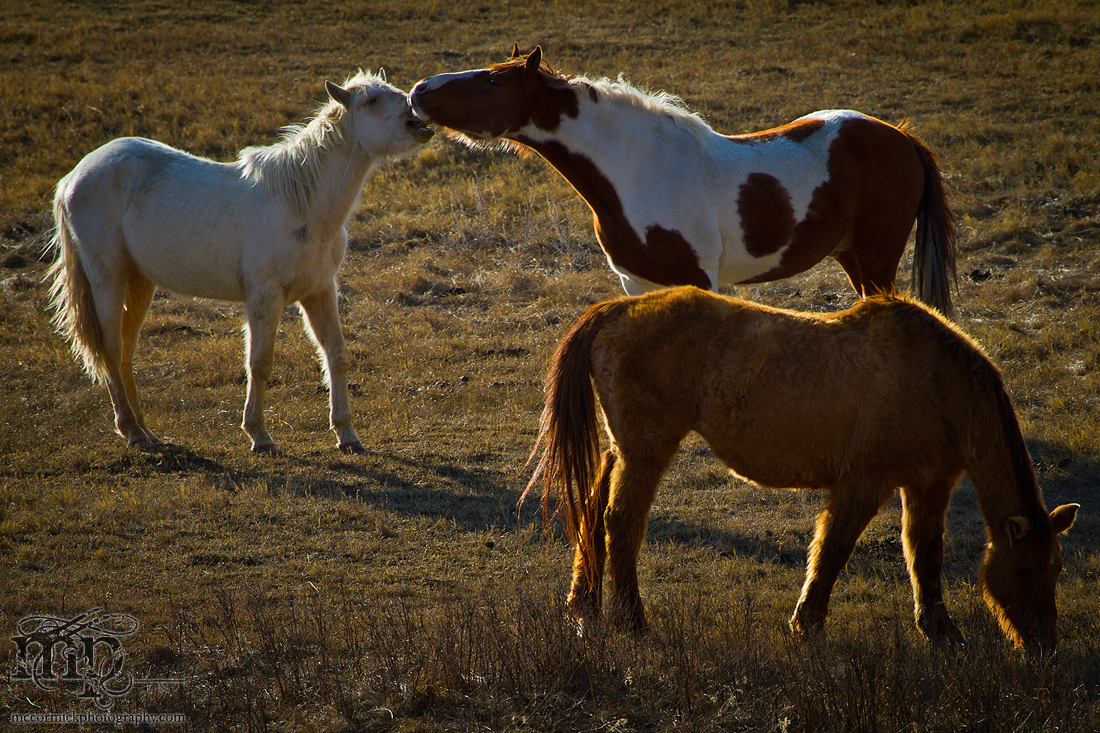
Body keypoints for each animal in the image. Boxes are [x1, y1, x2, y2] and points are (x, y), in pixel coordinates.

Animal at [48, 71, 434, 453]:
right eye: (372, 100)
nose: (416, 104)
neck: (300, 203)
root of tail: (72, 178)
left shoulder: (321, 291)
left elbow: (335, 354)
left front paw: (347, 434)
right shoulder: (264, 296)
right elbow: (260, 362)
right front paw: (259, 435)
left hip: (140, 281)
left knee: (126, 349)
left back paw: (148, 433)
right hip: (108, 277)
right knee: (111, 349)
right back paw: (132, 431)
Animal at [411, 45, 959, 316]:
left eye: (491, 80)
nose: (417, 91)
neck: (640, 169)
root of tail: (902, 137)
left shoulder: (698, 280)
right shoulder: (637, 283)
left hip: (877, 256)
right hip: (851, 256)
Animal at [523, 286, 1078, 652]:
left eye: (1056, 569)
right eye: (1023, 569)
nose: (1044, 646)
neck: (938, 385)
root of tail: (615, 310)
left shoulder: (928, 485)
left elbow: (926, 555)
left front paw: (939, 629)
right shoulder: (864, 483)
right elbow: (832, 551)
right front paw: (808, 624)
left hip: (622, 450)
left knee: (592, 510)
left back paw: (585, 606)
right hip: (645, 452)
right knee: (622, 524)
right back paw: (631, 621)